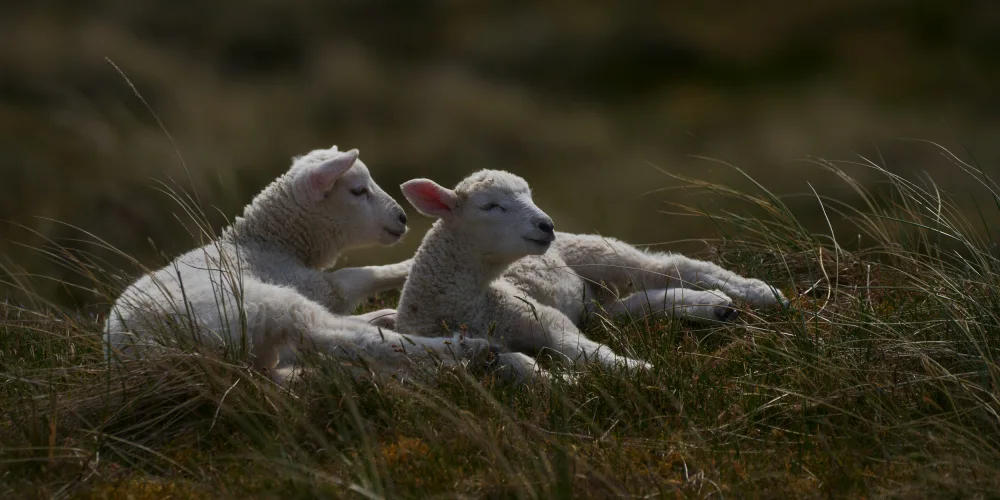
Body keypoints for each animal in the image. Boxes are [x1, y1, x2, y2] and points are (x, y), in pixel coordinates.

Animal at [104, 145, 488, 383]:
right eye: (358, 191)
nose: (403, 218)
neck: (265, 241)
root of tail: (138, 350)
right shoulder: (310, 283)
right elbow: (357, 276)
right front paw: (407, 266)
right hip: (263, 303)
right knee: (343, 337)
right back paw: (464, 348)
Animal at [395, 170, 653, 381]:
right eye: (490, 206)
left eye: (530, 196)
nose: (547, 225)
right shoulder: (481, 349)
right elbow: (521, 364)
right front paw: (565, 381)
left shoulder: (539, 314)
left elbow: (580, 347)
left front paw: (637, 368)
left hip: (602, 253)